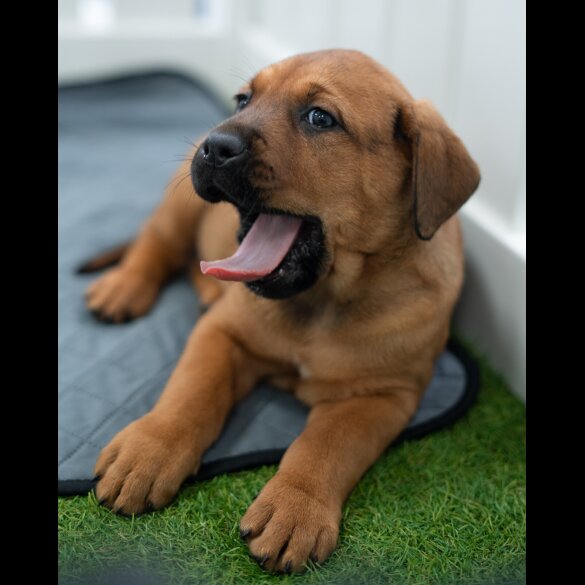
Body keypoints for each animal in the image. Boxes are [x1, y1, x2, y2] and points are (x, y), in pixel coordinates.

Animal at [86, 49, 480, 572]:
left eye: (320, 118)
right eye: (243, 100)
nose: (215, 146)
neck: (321, 301)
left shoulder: (383, 394)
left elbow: (325, 445)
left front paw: (296, 507)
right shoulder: (222, 334)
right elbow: (190, 394)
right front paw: (148, 452)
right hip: (179, 203)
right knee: (157, 243)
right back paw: (122, 288)